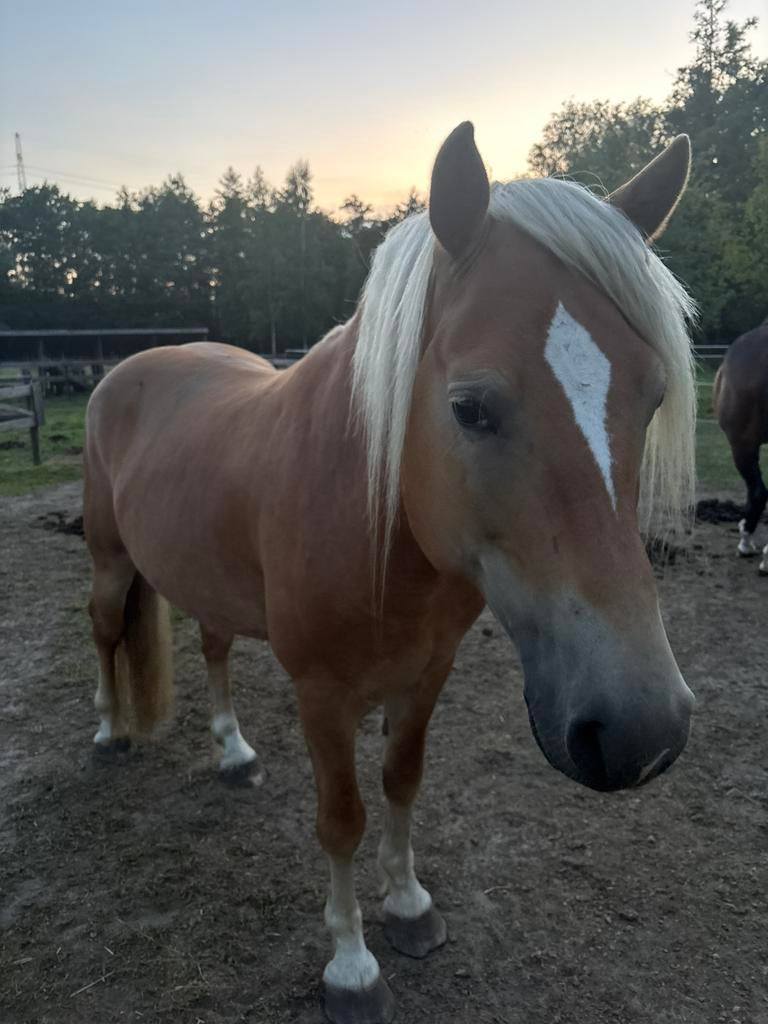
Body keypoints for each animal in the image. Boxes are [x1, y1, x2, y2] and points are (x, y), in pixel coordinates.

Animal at [83, 122, 696, 1024]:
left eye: (652, 397)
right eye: (469, 407)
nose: (640, 732)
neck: (371, 517)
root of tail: (130, 369)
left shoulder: (427, 673)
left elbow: (403, 782)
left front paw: (408, 907)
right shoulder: (321, 695)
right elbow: (342, 817)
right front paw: (351, 965)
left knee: (214, 647)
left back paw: (233, 751)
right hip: (107, 555)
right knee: (102, 631)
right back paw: (106, 734)